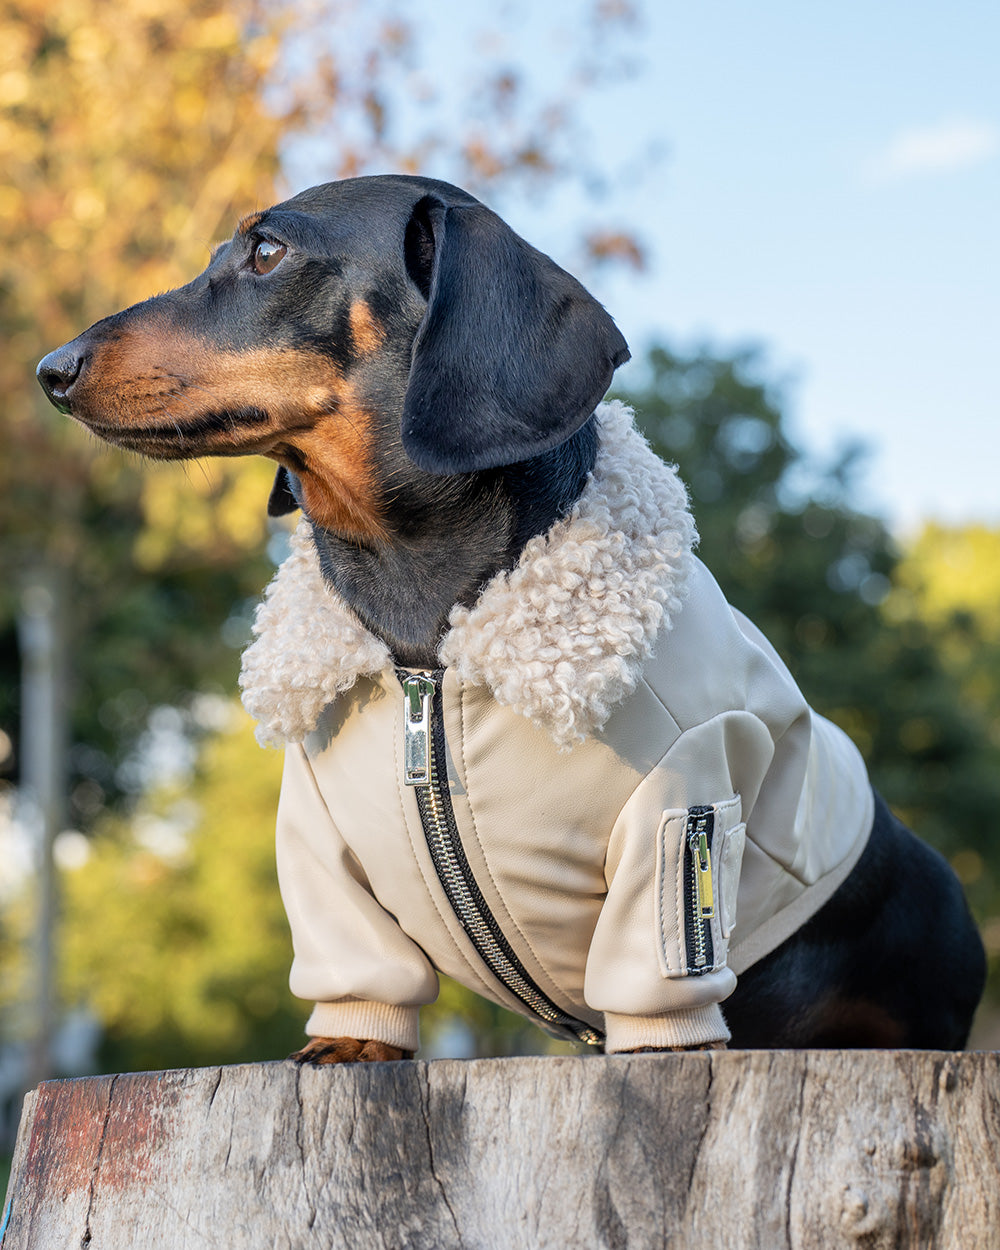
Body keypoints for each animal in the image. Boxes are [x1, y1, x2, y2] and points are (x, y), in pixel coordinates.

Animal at [39, 173, 985, 1055]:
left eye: (266, 249)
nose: (51, 368)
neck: (423, 644)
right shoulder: (317, 837)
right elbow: (355, 961)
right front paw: (349, 1041)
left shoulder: (683, 801)